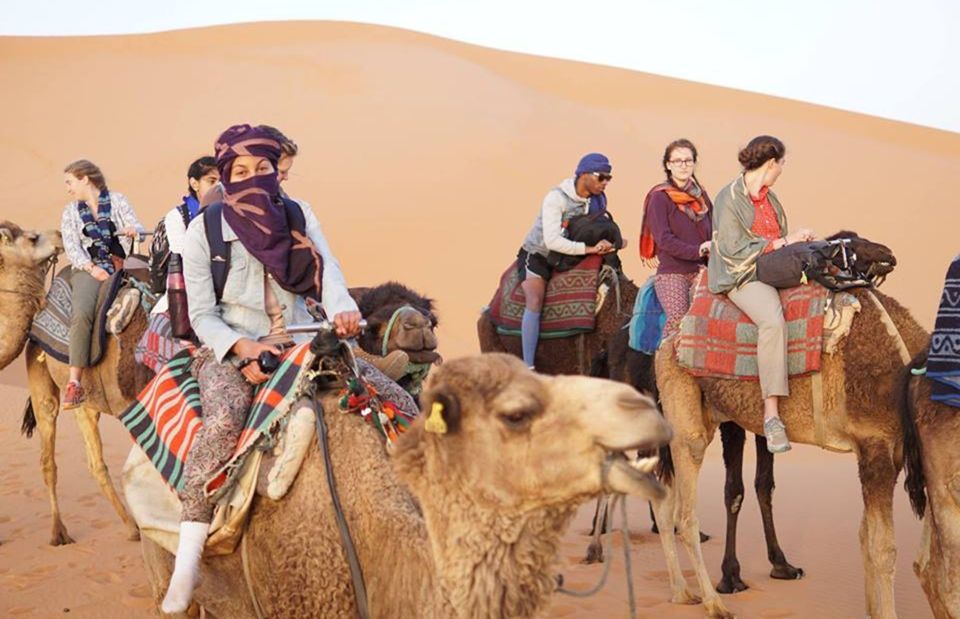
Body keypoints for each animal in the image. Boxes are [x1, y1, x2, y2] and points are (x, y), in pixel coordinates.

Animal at [652, 266, 928, 619]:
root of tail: (668, 338)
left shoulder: (891, 451)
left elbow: (866, 537)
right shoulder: (874, 443)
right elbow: (883, 548)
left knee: (665, 505)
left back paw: (680, 592)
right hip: (685, 410)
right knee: (685, 512)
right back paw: (714, 602)